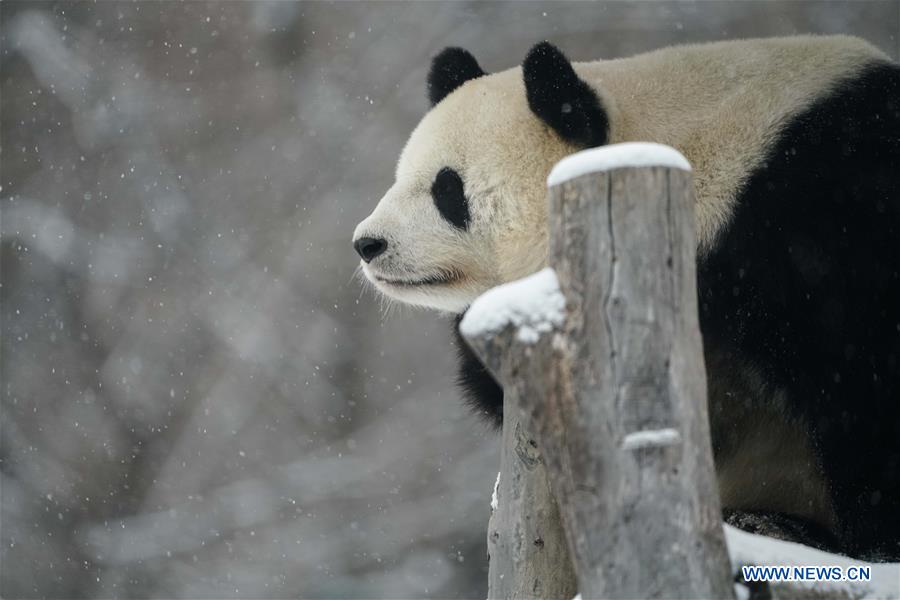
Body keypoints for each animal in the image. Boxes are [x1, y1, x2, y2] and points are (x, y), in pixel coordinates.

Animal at [352, 36, 900, 560]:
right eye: (402, 176)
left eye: (448, 190)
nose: (367, 243)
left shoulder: (815, 221)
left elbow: (860, 379)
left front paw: (871, 544)